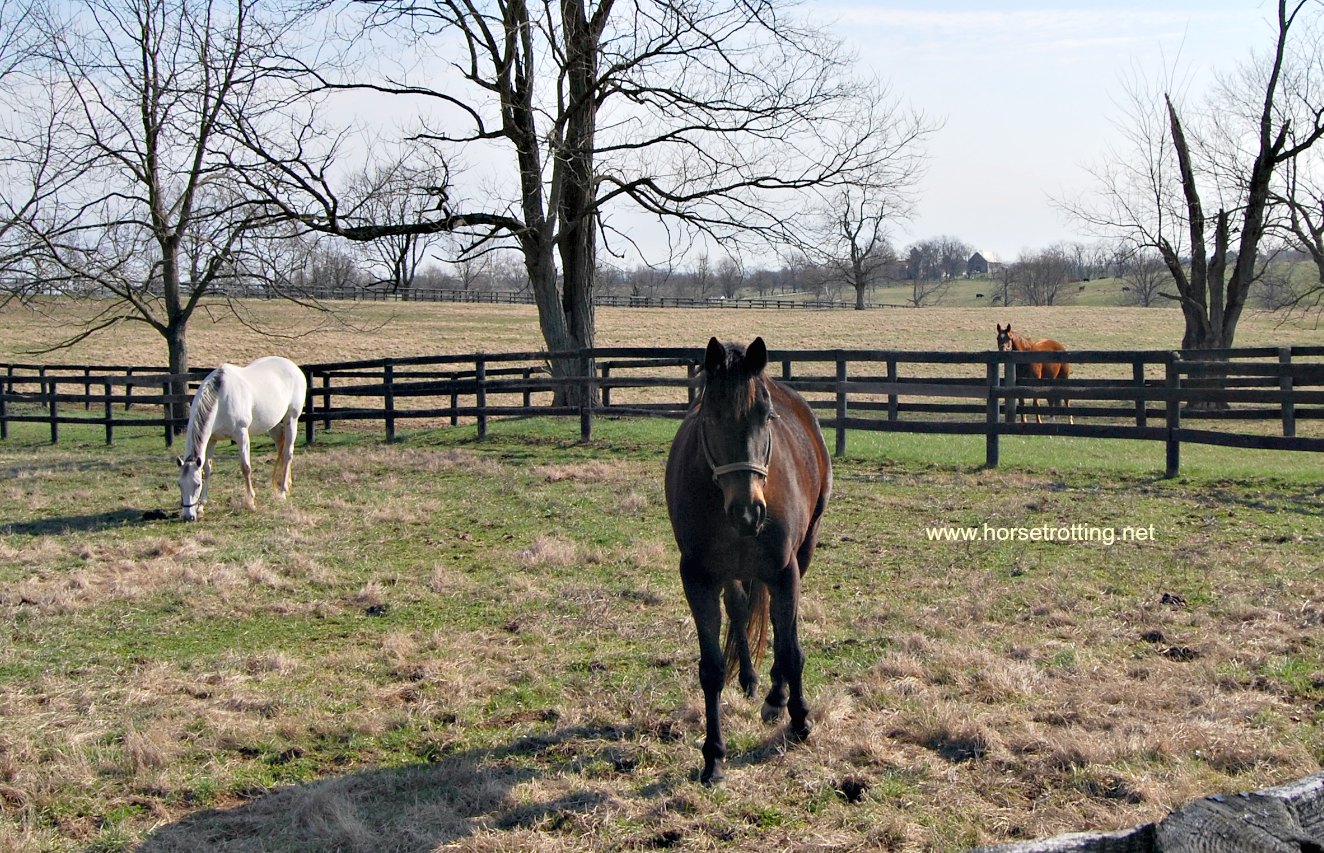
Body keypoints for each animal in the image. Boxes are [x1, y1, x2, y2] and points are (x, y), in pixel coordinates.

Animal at [177, 356, 307, 521]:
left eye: (197, 484)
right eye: (180, 484)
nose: (188, 516)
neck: (221, 398)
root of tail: (293, 367)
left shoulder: (241, 435)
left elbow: (245, 467)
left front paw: (251, 502)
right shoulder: (212, 439)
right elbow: (207, 468)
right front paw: (201, 507)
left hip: (291, 419)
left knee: (288, 453)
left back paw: (283, 492)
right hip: (273, 425)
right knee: (282, 449)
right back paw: (286, 485)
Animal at [664, 337, 832, 785]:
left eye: (765, 415)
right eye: (710, 415)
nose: (748, 512)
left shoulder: (784, 571)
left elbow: (791, 647)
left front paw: (799, 719)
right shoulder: (698, 577)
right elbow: (711, 669)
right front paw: (713, 757)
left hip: (804, 551)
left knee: (778, 620)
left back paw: (776, 696)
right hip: (731, 573)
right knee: (740, 609)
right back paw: (752, 680)